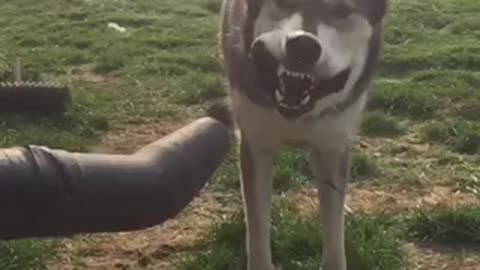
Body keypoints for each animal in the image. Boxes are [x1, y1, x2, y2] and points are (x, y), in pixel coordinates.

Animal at [219, 0, 388, 270]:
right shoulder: (257, 145)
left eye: (343, 9)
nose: (304, 45)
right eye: (283, 2)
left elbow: (333, 232)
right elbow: (257, 230)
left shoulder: (332, 146)